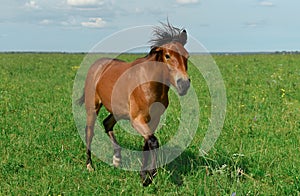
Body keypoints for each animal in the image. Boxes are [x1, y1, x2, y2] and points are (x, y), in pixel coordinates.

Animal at [77, 22, 190, 186]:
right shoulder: (137, 119)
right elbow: (153, 142)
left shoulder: (153, 120)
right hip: (93, 108)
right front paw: (149, 176)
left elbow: (147, 144)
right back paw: (90, 166)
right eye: (168, 56)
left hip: (118, 111)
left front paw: (144, 174)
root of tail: (97, 65)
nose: (184, 84)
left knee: (107, 123)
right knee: (89, 132)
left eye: (187, 56)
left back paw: (117, 159)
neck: (149, 82)